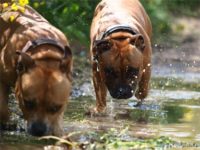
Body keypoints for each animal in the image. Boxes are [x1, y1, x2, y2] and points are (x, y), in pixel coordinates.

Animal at [0, 2, 72, 137]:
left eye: (56, 108)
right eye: (28, 103)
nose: (39, 130)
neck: (45, 53)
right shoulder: (1, 79)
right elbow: (2, 107)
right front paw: (7, 121)